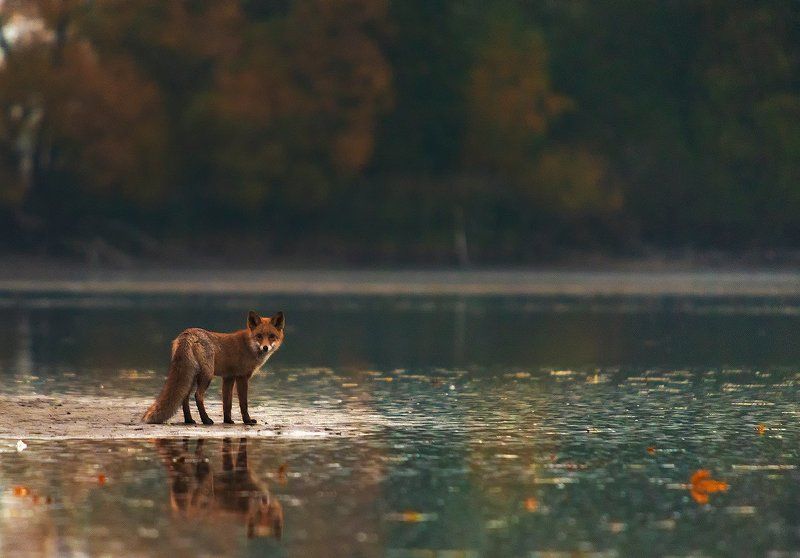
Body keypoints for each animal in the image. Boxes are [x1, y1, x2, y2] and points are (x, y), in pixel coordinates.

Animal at [142, 310, 285, 425]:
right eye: (259, 336)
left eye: (271, 336)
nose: (265, 347)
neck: (249, 346)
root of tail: (187, 333)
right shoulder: (241, 377)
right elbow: (243, 403)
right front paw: (247, 421)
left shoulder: (228, 377)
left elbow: (227, 403)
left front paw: (228, 421)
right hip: (207, 375)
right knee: (198, 395)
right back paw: (206, 420)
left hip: (192, 376)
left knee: (184, 397)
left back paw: (189, 420)